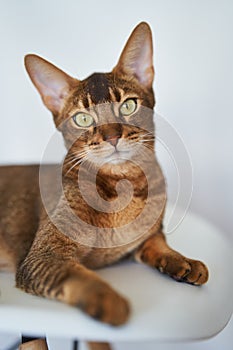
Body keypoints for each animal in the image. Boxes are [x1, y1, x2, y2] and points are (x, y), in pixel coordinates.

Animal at [0, 22, 208, 328]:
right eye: (83, 118)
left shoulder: (146, 239)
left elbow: (159, 245)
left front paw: (184, 261)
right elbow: (75, 275)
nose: (111, 137)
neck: (124, 188)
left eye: (128, 106)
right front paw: (108, 300)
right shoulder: (42, 256)